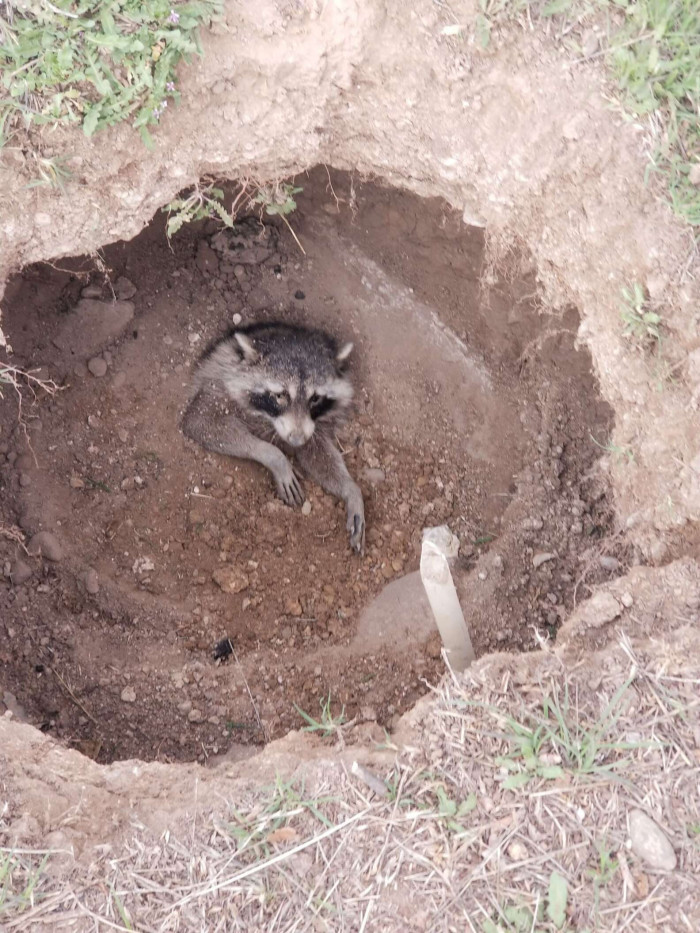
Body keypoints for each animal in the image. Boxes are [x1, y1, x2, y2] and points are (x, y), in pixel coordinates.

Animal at [182, 321, 365, 553]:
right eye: (279, 395)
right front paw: (274, 456)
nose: (296, 440)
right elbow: (201, 420)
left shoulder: (314, 427)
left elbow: (316, 453)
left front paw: (351, 489)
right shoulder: (217, 384)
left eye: (315, 399)